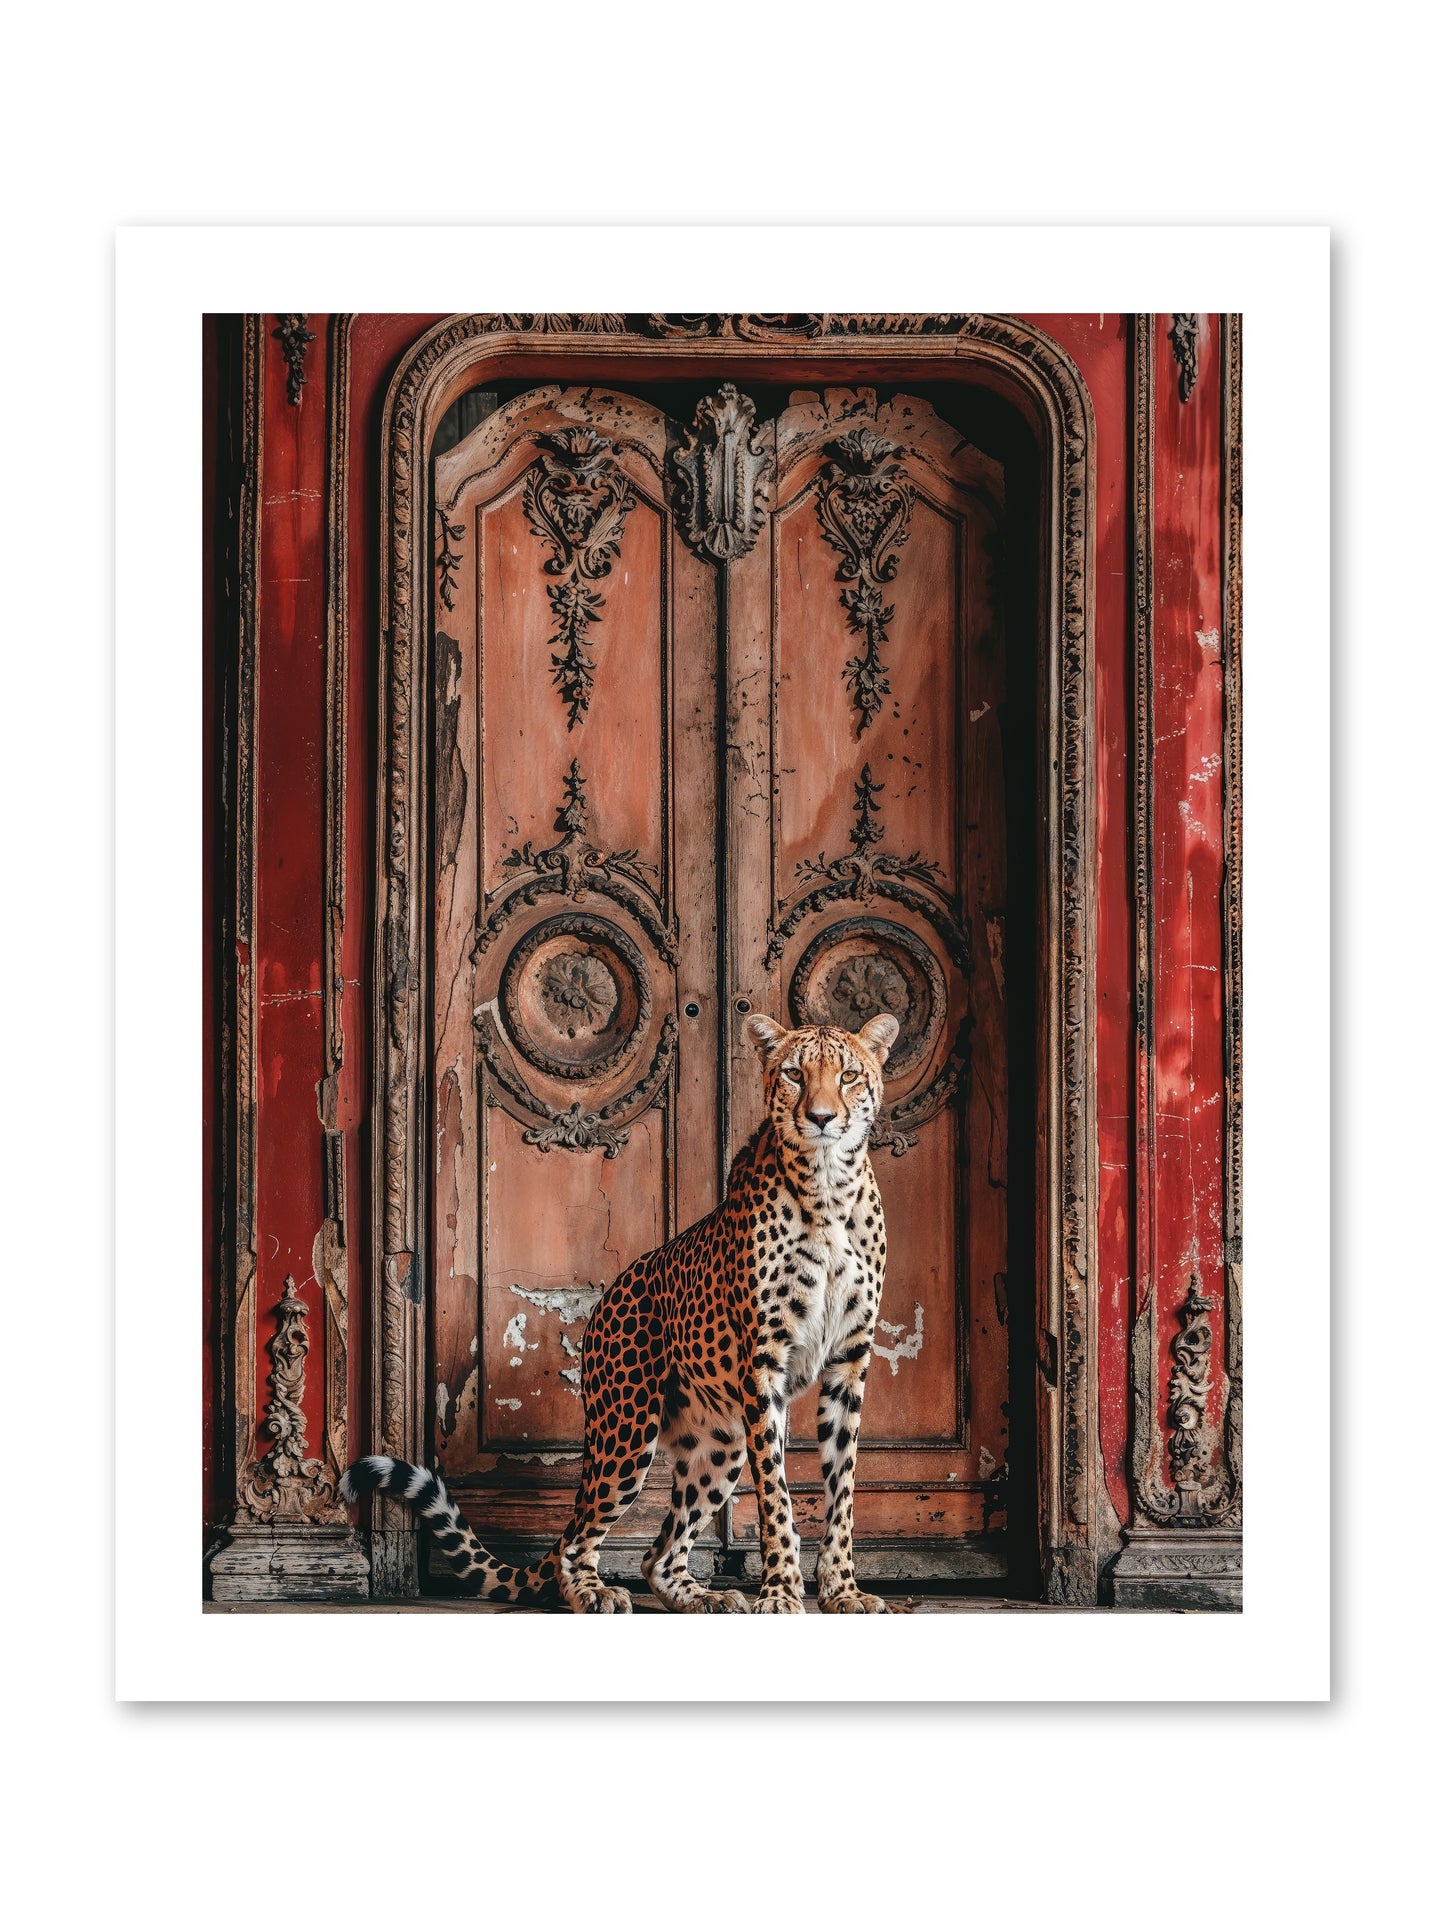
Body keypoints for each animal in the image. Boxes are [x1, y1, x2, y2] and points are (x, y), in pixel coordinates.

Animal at [342, 1008, 900, 1614]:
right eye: (795, 1074)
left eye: (848, 1075)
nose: (821, 1118)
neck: (828, 1189)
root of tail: (609, 1294)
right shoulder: (765, 1364)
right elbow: (776, 1492)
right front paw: (779, 1592)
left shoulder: (849, 1360)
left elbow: (842, 1489)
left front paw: (843, 1591)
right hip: (628, 1430)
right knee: (577, 1539)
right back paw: (594, 1591)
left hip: (720, 1443)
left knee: (657, 1555)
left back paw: (705, 1597)